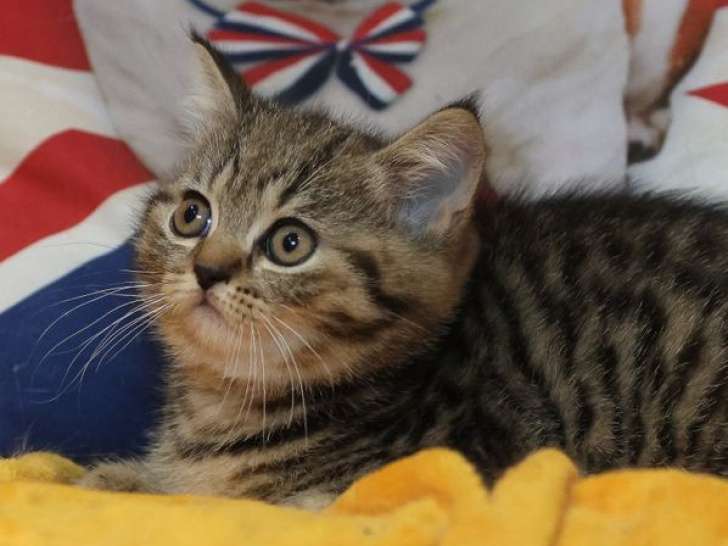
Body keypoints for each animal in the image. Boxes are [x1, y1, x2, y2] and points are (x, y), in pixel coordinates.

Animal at [79, 39, 728, 506]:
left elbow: (230, 502)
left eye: (290, 244)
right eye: (193, 215)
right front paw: (117, 476)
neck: (223, 403)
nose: (207, 270)